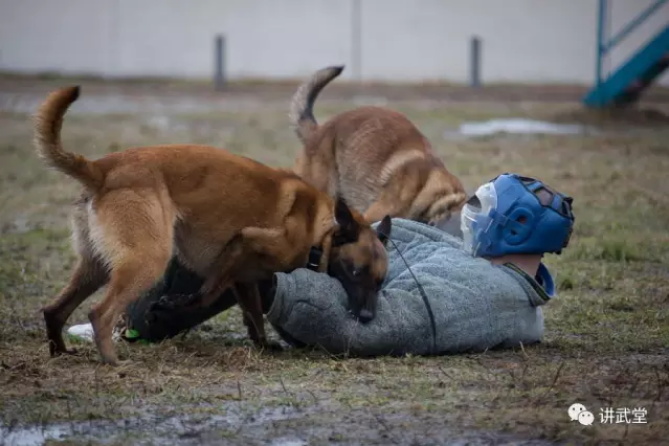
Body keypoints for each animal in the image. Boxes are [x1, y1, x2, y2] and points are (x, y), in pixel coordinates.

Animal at [34, 86, 392, 366]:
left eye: (380, 281)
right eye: (356, 272)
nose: (367, 318)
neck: (320, 226)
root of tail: (102, 169)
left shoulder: (245, 277)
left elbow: (254, 315)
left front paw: (263, 346)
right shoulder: (243, 242)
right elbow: (207, 293)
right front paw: (174, 304)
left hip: (95, 266)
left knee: (53, 310)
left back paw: (60, 352)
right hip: (148, 260)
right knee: (100, 313)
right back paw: (112, 361)